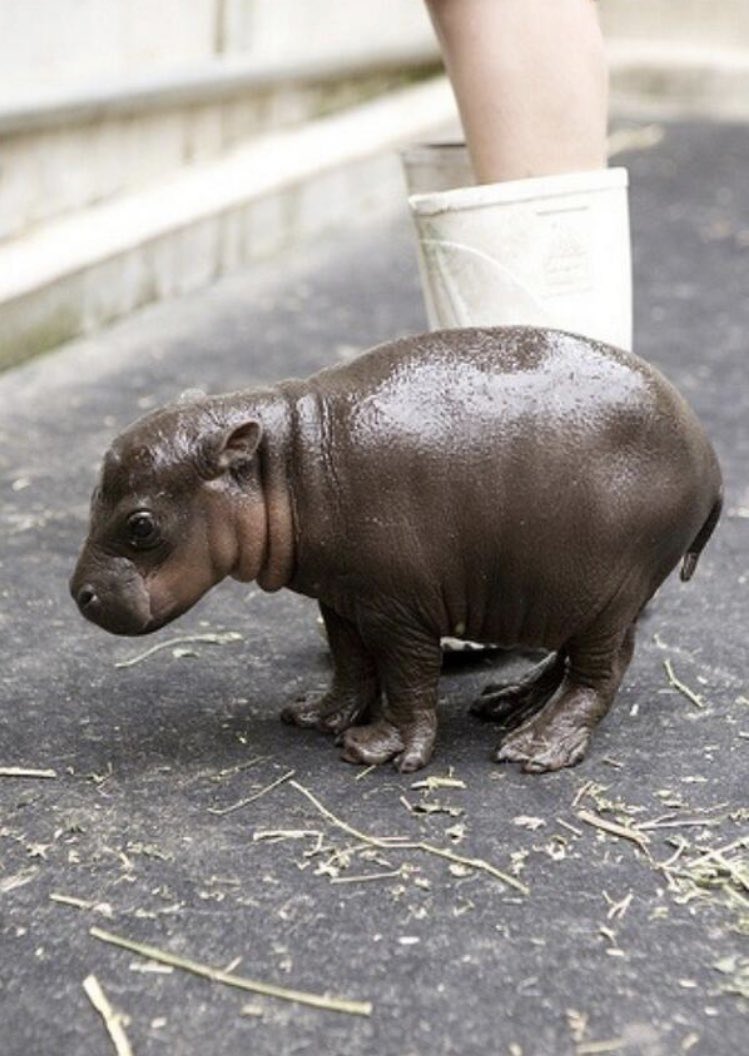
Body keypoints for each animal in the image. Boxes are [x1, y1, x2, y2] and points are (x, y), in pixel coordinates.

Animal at [70, 326, 722, 773]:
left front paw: (380, 749)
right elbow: (350, 661)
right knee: (567, 657)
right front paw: (314, 715)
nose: (79, 593)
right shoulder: (340, 596)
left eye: (142, 524)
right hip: (568, 588)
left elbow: (409, 676)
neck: (287, 462)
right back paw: (504, 703)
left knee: (600, 670)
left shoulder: (398, 608)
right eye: (93, 494)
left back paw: (533, 748)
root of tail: (710, 459)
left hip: (609, 590)